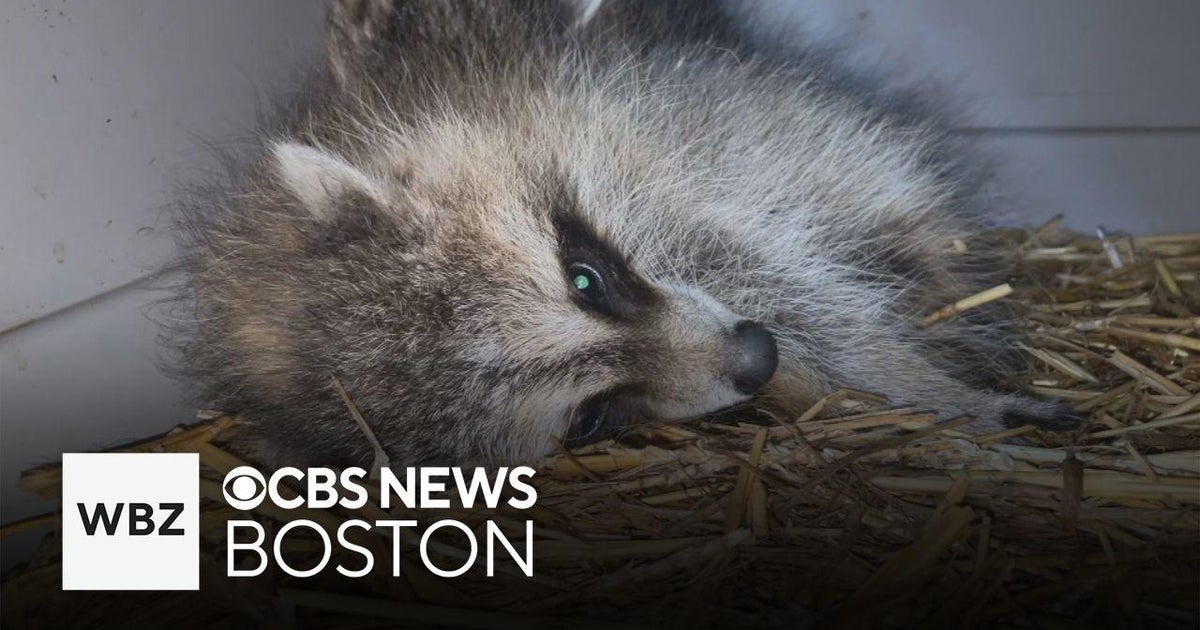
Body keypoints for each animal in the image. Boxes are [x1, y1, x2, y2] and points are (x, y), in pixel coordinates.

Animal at [174, 0, 1081, 467]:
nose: (756, 360)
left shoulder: (654, 160)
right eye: (592, 418)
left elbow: (797, 287)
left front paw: (927, 387)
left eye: (585, 278)